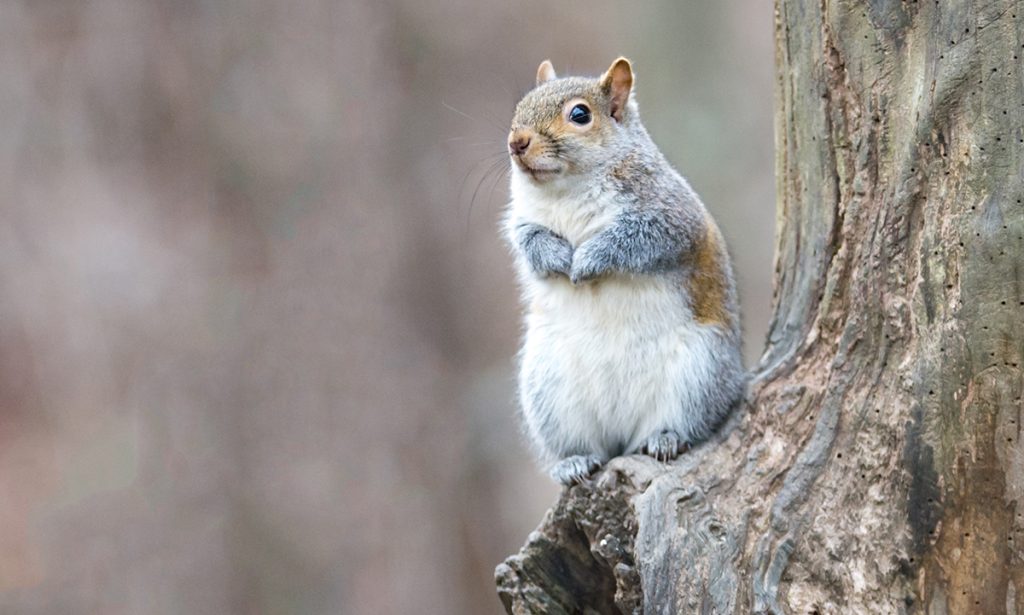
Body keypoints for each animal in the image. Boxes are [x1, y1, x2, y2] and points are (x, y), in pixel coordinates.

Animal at [503, 57, 745, 485]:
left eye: (580, 115)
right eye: (521, 105)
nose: (517, 142)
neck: (566, 190)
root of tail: (622, 434)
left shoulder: (670, 217)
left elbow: (635, 240)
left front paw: (587, 260)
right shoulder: (523, 221)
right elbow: (529, 242)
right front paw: (557, 257)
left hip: (700, 372)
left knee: (688, 422)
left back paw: (666, 438)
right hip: (547, 390)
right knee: (584, 445)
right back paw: (574, 462)